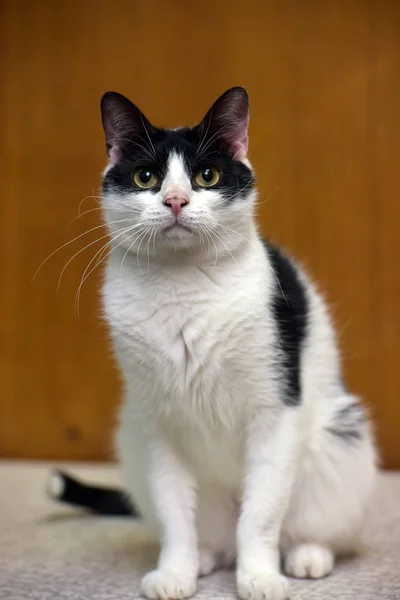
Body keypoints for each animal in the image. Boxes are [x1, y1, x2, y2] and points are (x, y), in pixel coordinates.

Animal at [79, 85, 378, 600]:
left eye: (207, 176)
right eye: (146, 177)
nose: (176, 200)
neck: (183, 289)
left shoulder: (274, 415)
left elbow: (261, 517)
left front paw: (259, 577)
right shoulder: (158, 426)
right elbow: (175, 517)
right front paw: (176, 572)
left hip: (338, 437)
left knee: (307, 526)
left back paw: (306, 556)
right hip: (133, 438)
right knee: (212, 533)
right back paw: (204, 559)